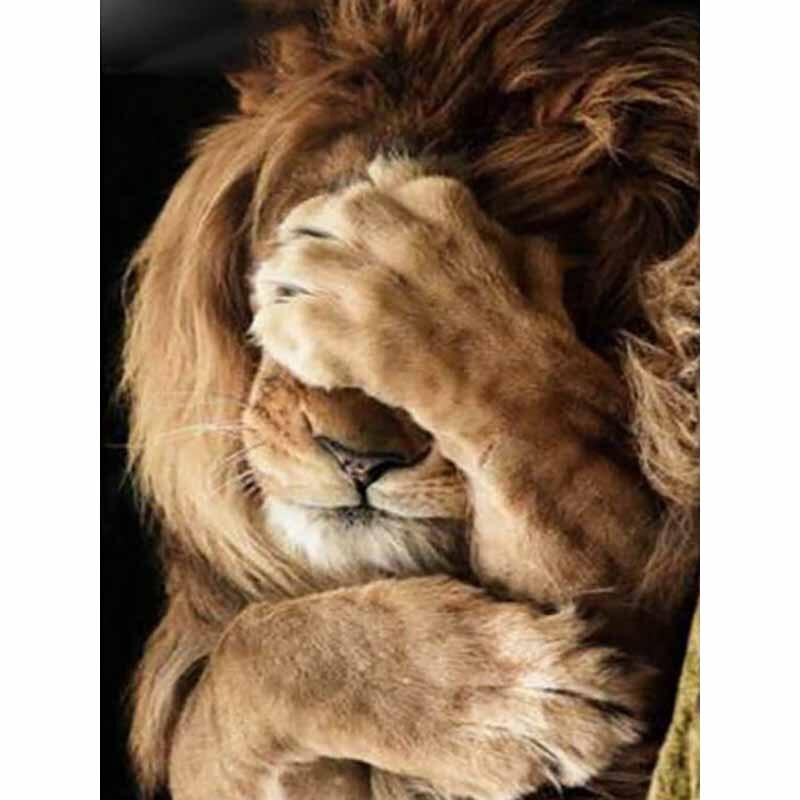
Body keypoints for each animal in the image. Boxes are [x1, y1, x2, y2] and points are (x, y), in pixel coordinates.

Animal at [122, 2, 699, 799]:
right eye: (282, 263)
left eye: (565, 295)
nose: (358, 459)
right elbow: (245, 661)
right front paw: (500, 703)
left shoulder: (647, 638)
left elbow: (551, 456)